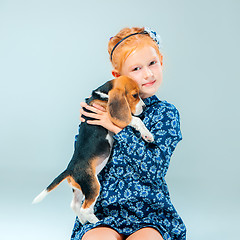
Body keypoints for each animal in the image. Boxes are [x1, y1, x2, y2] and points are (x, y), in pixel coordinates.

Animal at [32, 76, 154, 225]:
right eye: (135, 95)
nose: (145, 107)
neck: (103, 95)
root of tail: (70, 169)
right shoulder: (114, 118)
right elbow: (136, 120)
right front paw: (147, 135)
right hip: (93, 185)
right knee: (85, 208)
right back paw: (97, 221)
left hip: (80, 188)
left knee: (74, 205)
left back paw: (83, 220)